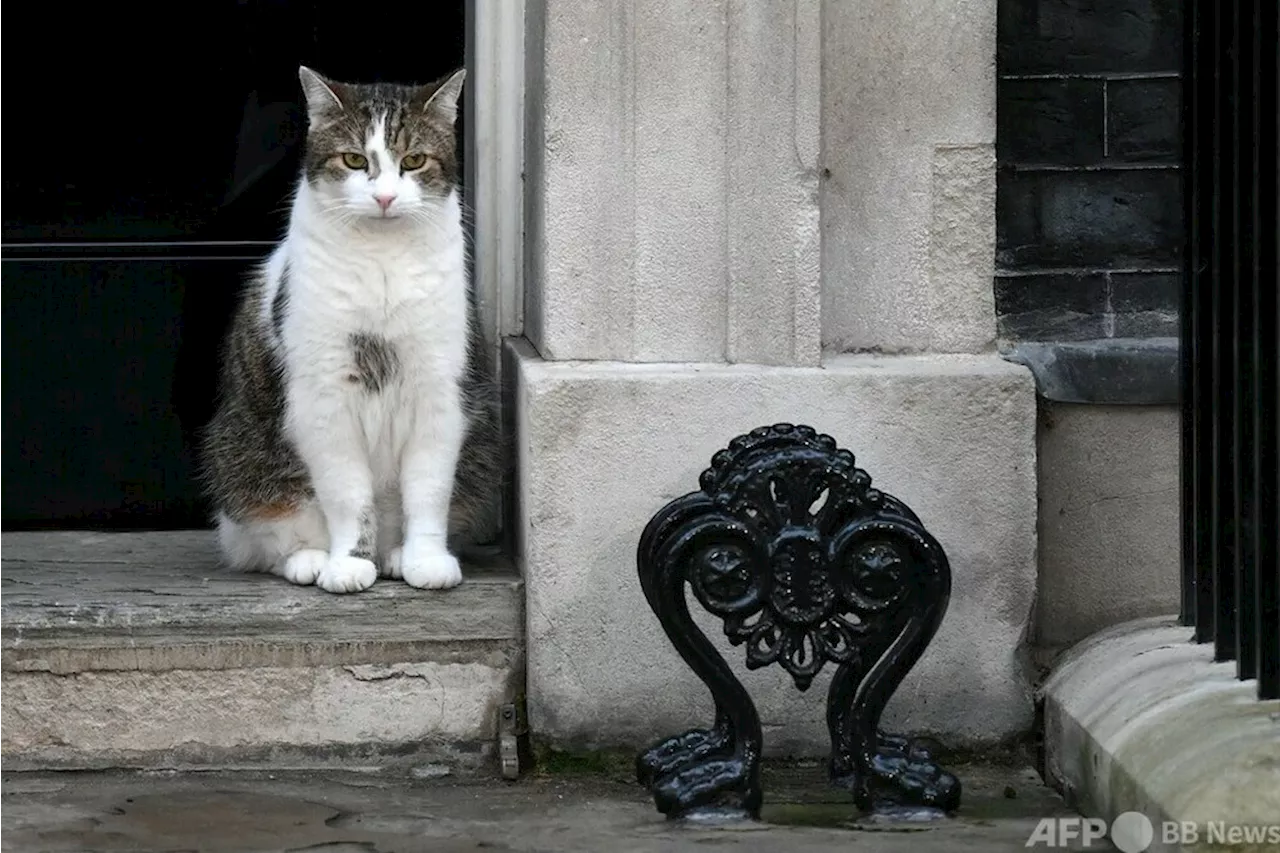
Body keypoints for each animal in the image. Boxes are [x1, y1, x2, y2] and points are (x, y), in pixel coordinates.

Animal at [199, 64, 499, 591]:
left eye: (414, 160)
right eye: (355, 160)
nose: (384, 196)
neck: (382, 260)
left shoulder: (439, 393)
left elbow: (429, 490)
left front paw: (425, 560)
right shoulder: (325, 398)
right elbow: (348, 495)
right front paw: (348, 564)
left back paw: (395, 555)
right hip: (239, 458)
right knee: (263, 540)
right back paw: (312, 560)